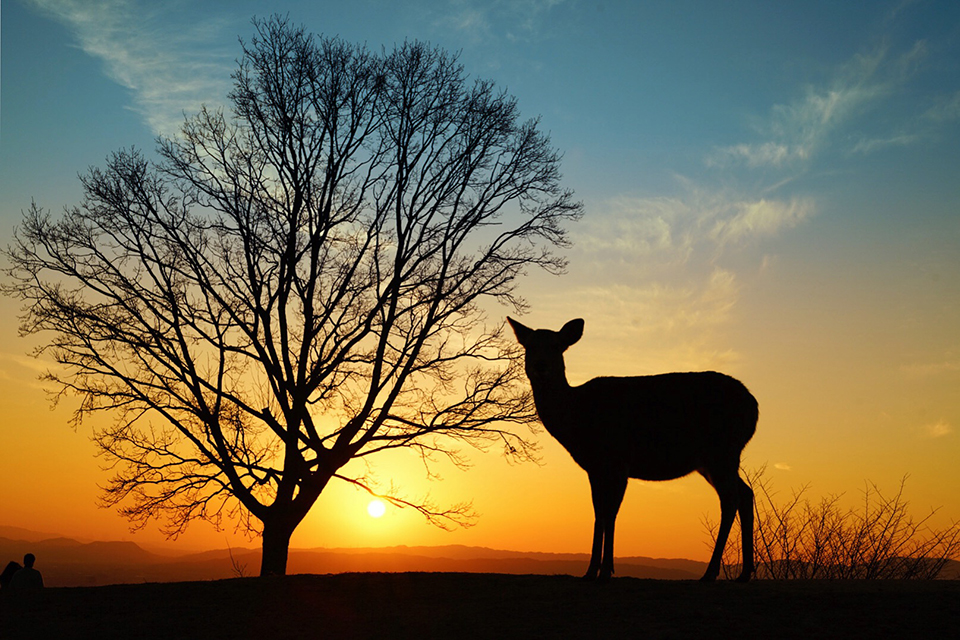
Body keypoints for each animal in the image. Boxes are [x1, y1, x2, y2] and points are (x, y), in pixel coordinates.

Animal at [508, 317, 758, 582]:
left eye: (556, 346)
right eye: (529, 346)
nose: (541, 366)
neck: (576, 416)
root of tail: (754, 407)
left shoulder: (618, 460)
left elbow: (611, 514)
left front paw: (606, 570)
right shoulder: (594, 468)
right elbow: (598, 513)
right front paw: (590, 571)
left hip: (722, 450)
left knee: (730, 499)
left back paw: (710, 573)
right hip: (714, 460)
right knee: (745, 493)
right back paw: (744, 573)